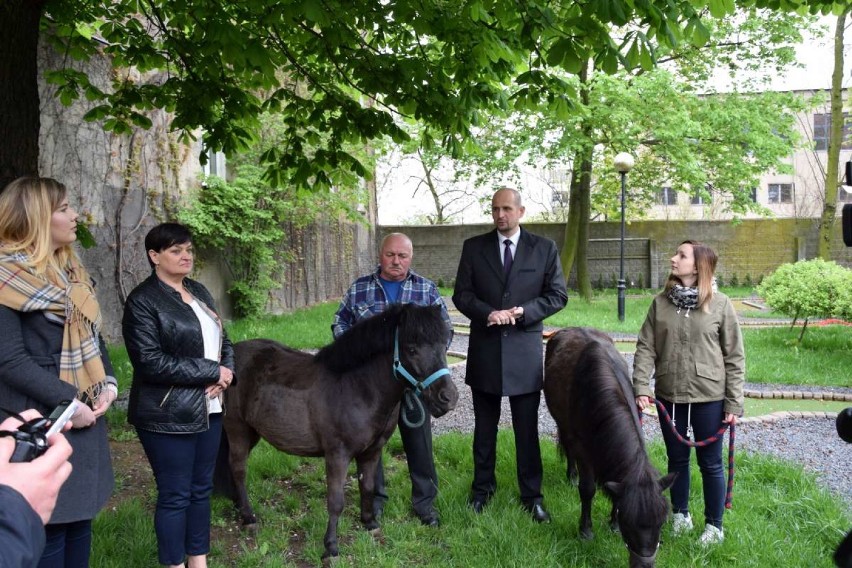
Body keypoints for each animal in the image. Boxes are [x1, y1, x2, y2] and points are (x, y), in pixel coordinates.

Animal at [216, 304, 462, 560]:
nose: (448, 397)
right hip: (237, 430)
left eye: (443, 345)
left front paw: (370, 524)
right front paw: (331, 547)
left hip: (252, 432)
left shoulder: (372, 452)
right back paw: (248, 517)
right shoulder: (337, 455)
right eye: (411, 349)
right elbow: (335, 501)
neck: (357, 387)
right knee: (239, 470)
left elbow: (368, 487)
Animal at [544, 328, 676, 568]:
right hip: (562, 423)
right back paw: (572, 476)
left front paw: (612, 524)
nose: (644, 564)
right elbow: (587, 489)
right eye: (629, 523)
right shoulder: (583, 449)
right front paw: (586, 531)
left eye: (661, 523)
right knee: (568, 447)